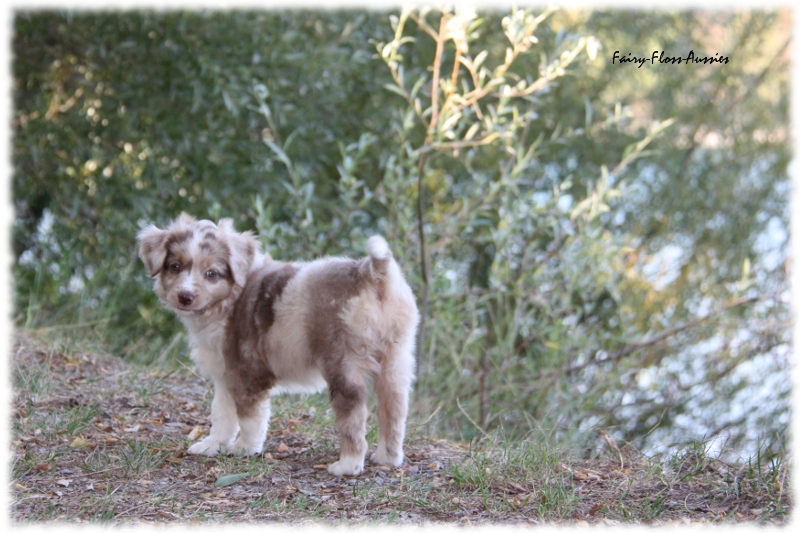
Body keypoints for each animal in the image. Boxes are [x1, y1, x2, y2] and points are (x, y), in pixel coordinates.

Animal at [139, 212, 418, 474]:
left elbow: (249, 417)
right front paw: (212, 445)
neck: (229, 300)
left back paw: (348, 465)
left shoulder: (249, 373)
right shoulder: (226, 373)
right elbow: (222, 413)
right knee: (394, 410)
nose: (185, 296)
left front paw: (244, 449)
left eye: (211, 274)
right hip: (396, 360)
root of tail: (372, 273)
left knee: (353, 412)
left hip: (342, 364)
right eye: (175, 267)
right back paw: (388, 458)